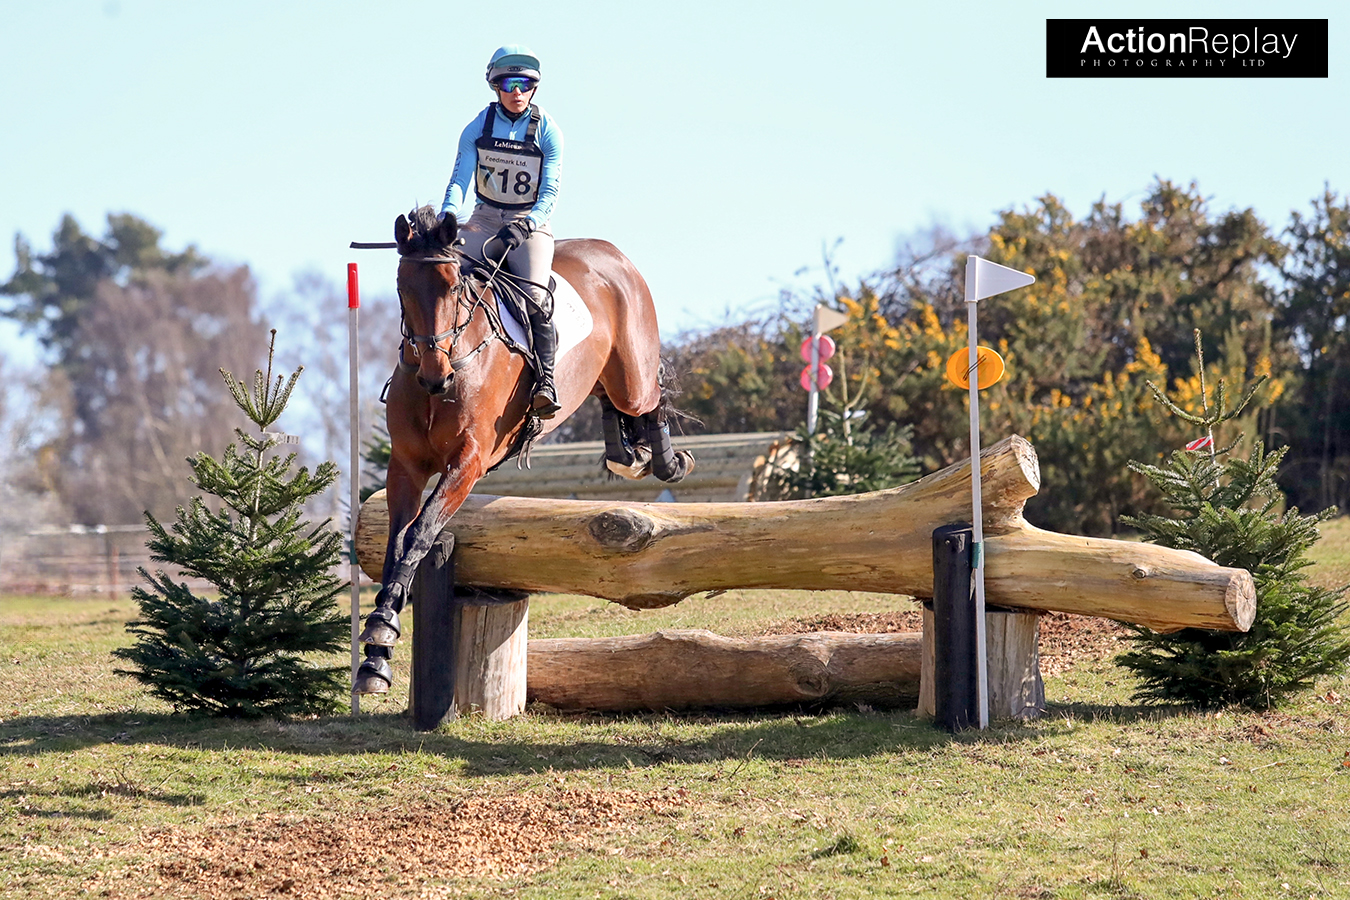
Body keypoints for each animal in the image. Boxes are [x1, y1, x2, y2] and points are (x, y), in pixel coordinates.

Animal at [354, 206, 693, 693]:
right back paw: (627, 456)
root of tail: (611, 252)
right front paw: (376, 654)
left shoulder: (469, 461)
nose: (436, 377)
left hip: (632, 374)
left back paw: (666, 461)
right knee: (611, 403)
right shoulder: (406, 466)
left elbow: (421, 533)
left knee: (649, 399)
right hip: (599, 378)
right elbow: (396, 542)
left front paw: (381, 632)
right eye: (402, 287)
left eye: (453, 286)